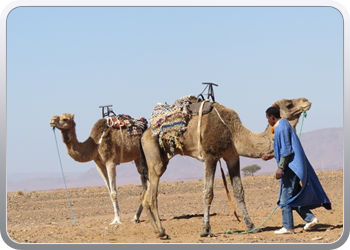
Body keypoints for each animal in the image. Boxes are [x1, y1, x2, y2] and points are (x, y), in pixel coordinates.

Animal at [139, 96, 312, 238]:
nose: (306, 101)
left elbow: (239, 191)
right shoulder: (210, 156)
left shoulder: (232, 156)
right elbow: (208, 193)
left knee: (145, 197)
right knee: (152, 195)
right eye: (289, 104)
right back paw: (162, 232)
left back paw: (158, 232)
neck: (233, 132)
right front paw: (205, 230)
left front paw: (252, 226)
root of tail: (145, 134)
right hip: (155, 156)